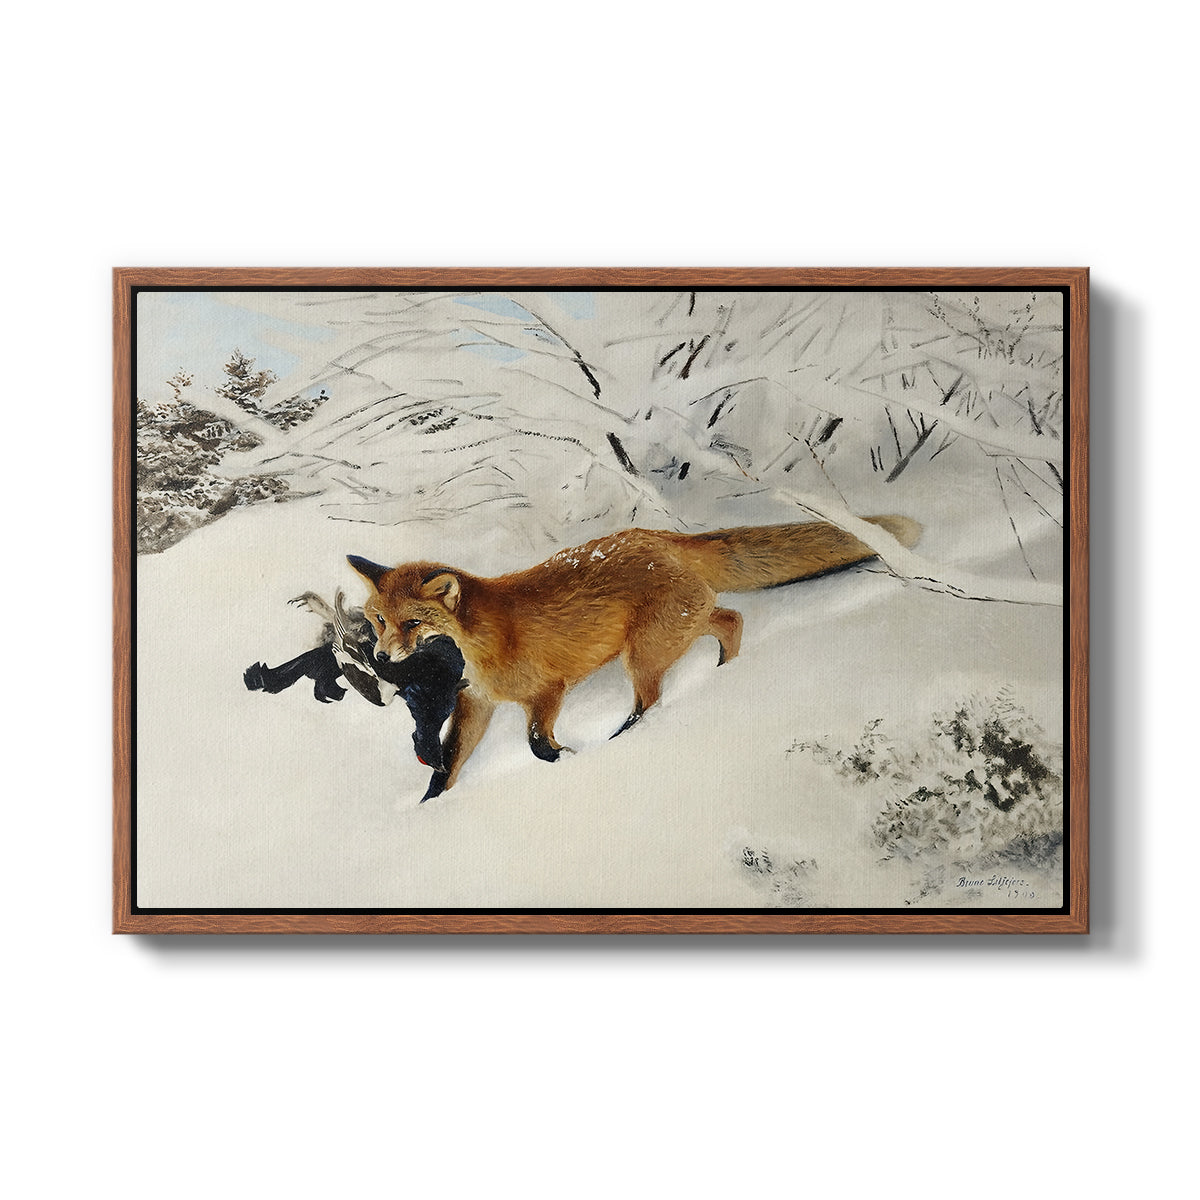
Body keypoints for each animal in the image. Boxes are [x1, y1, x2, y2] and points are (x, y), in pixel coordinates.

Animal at [349, 514, 921, 800]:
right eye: (378, 620)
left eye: (412, 624)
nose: (381, 655)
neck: (482, 643)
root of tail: (661, 537)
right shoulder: (477, 704)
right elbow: (448, 765)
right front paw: (429, 808)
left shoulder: (547, 691)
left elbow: (536, 744)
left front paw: (568, 759)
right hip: (675, 631)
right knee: (730, 619)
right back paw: (724, 672)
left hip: (643, 654)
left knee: (653, 699)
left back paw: (628, 737)